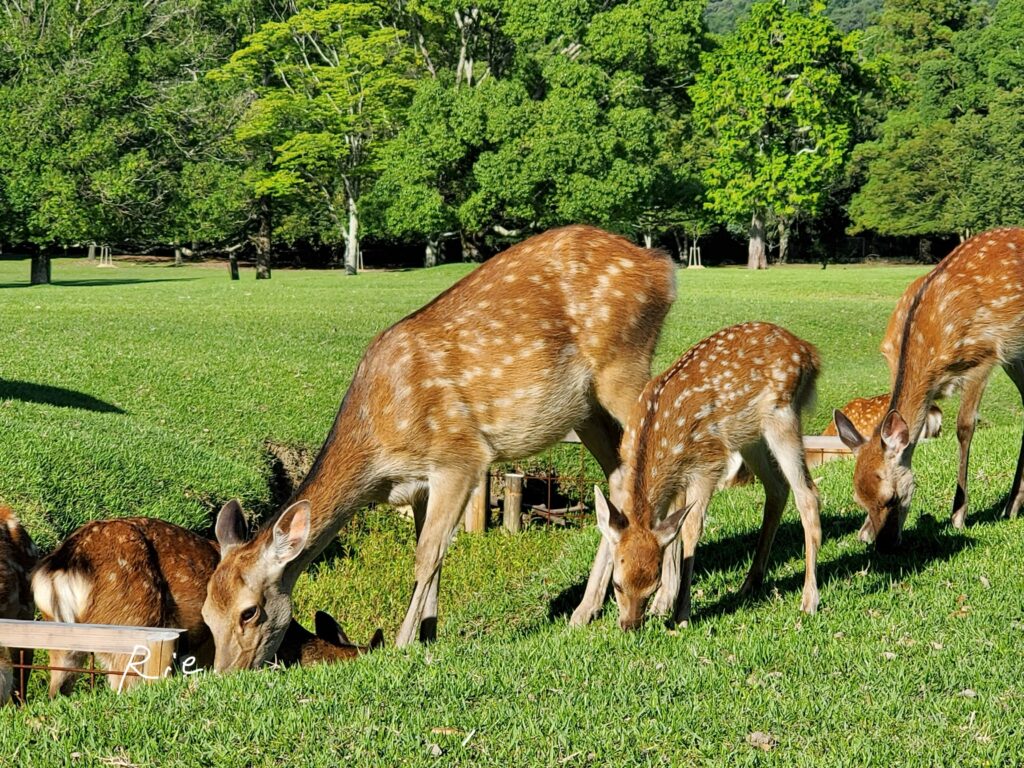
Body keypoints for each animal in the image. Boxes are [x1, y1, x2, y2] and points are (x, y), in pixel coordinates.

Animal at [203, 224, 677, 666]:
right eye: (206, 614)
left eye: (250, 611)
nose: (228, 672)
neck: (379, 451)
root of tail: (663, 266)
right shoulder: (416, 487)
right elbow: (432, 552)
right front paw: (429, 634)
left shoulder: (459, 456)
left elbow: (426, 556)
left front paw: (402, 643)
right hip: (586, 409)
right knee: (619, 477)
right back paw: (586, 610)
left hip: (624, 366)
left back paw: (663, 602)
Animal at [591, 322, 822, 629]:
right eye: (617, 584)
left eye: (651, 585)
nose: (629, 625)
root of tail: (808, 352)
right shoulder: (675, 482)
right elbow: (671, 529)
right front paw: (662, 606)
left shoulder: (707, 464)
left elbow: (690, 529)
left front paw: (681, 613)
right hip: (750, 437)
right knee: (777, 488)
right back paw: (750, 583)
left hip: (783, 416)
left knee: (807, 494)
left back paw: (809, 600)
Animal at [833, 227, 1024, 548]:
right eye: (859, 500)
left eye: (892, 497)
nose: (884, 546)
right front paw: (863, 531)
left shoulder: (983, 356)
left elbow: (964, 427)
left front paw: (958, 515)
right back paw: (1013, 505)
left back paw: (1010, 506)